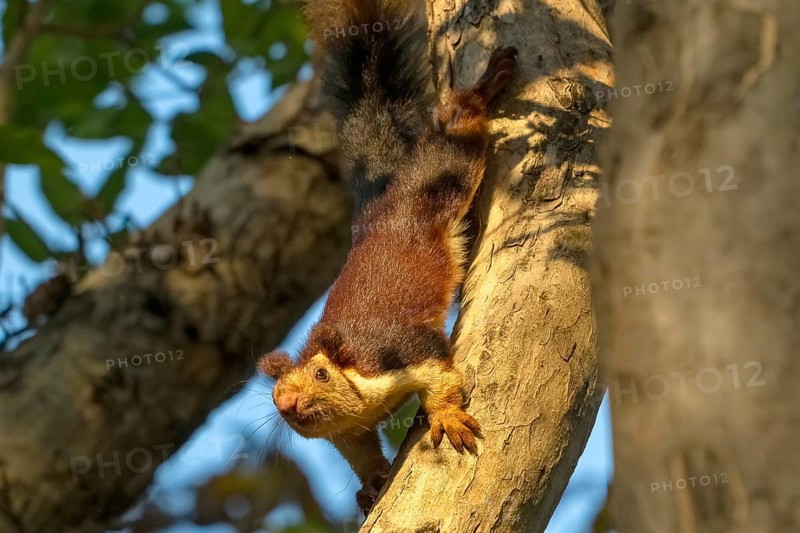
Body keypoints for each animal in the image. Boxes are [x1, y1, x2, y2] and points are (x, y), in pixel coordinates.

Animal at [257, 0, 517, 515]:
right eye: (273, 397)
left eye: (321, 374)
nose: (289, 405)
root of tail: (384, 204)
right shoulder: (348, 432)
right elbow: (359, 452)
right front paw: (373, 481)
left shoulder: (400, 350)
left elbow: (439, 375)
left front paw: (447, 418)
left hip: (442, 174)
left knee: (455, 132)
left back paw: (482, 90)